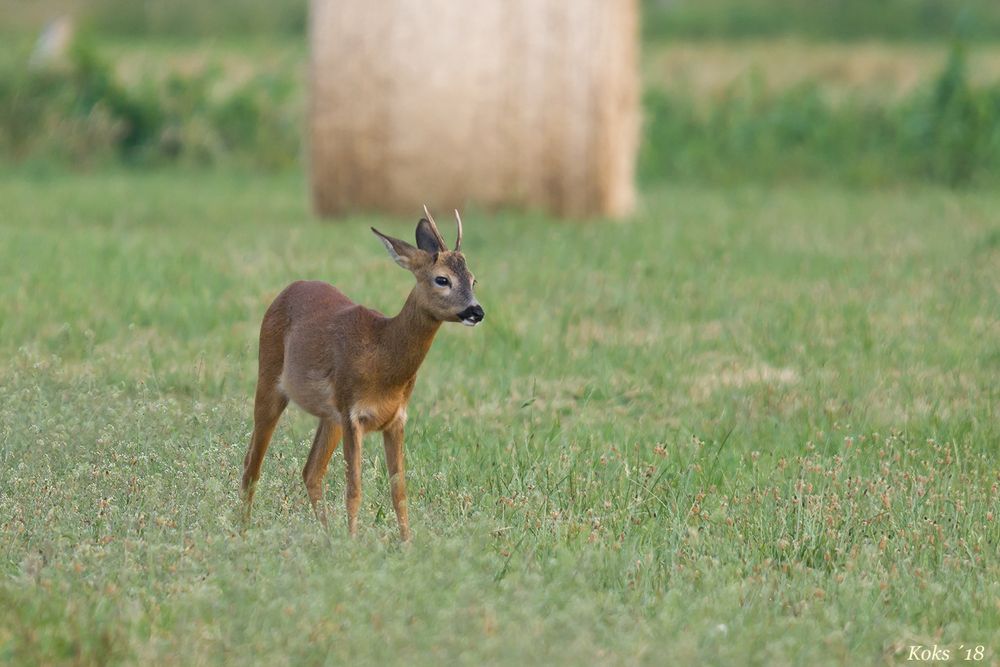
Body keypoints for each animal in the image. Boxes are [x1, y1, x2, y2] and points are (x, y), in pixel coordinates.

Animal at [238, 209, 480, 544]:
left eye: (473, 279)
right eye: (442, 279)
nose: (476, 311)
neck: (382, 352)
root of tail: (289, 288)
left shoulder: (395, 418)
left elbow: (399, 491)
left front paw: (406, 544)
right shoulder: (353, 413)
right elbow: (354, 489)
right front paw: (354, 542)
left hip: (331, 416)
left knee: (311, 471)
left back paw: (327, 536)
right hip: (271, 378)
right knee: (252, 464)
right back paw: (243, 531)